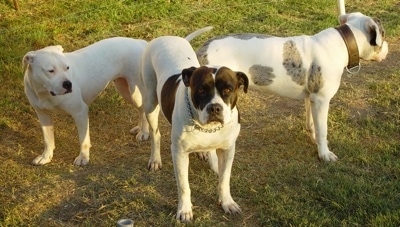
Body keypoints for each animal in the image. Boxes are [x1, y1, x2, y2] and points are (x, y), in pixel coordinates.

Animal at [23, 36, 149, 165]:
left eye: (67, 68)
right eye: (50, 71)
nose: (68, 84)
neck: (44, 92)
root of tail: (139, 42)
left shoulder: (80, 112)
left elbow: (83, 139)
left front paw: (83, 157)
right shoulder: (43, 114)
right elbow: (47, 138)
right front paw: (46, 156)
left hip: (135, 91)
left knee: (143, 108)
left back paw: (144, 132)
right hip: (124, 89)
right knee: (140, 109)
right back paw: (139, 128)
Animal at [140, 26, 247, 220]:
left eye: (228, 89)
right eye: (201, 90)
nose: (215, 108)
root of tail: (166, 37)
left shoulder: (228, 150)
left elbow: (224, 180)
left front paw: (227, 202)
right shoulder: (179, 154)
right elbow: (184, 186)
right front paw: (184, 210)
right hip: (150, 102)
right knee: (155, 133)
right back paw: (155, 159)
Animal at [197, 12, 388, 161]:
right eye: (384, 34)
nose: (387, 46)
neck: (343, 43)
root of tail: (202, 49)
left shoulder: (312, 99)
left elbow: (313, 124)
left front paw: (314, 137)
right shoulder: (322, 100)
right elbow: (323, 130)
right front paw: (325, 154)